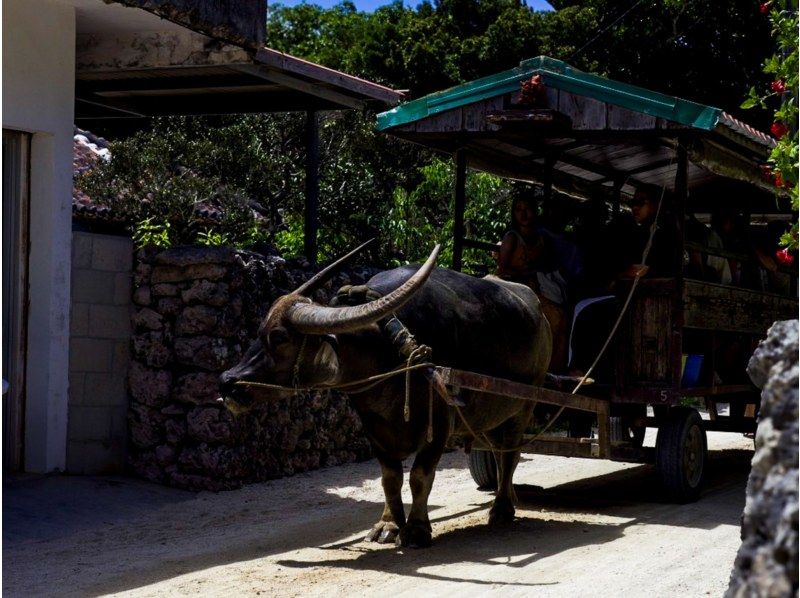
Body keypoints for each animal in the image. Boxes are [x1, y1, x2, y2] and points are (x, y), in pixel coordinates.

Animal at [219, 243, 552, 548]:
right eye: (259, 330)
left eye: (280, 337)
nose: (227, 383)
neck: (388, 349)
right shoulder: (374, 428)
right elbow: (389, 479)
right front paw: (388, 525)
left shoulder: (439, 424)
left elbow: (420, 476)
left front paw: (416, 529)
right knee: (499, 452)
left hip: (523, 406)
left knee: (510, 454)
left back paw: (502, 508)